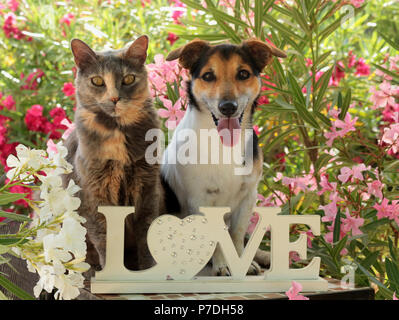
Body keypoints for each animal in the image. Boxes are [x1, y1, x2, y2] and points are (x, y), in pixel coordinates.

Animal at [63, 35, 164, 272]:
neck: (118, 131)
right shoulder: (93, 193)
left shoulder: (147, 186)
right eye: (97, 81)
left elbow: (146, 232)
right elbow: (104, 238)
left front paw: (147, 269)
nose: (115, 98)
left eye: (128, 79)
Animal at [161, 38, 286, 276]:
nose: (228, 107)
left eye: (243, 74)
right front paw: (221, 265)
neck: (224, 143)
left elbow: (236, 235)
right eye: (208, 76)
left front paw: (242, 263)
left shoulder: (248, 197)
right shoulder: (201, 199)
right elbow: (217, 239)